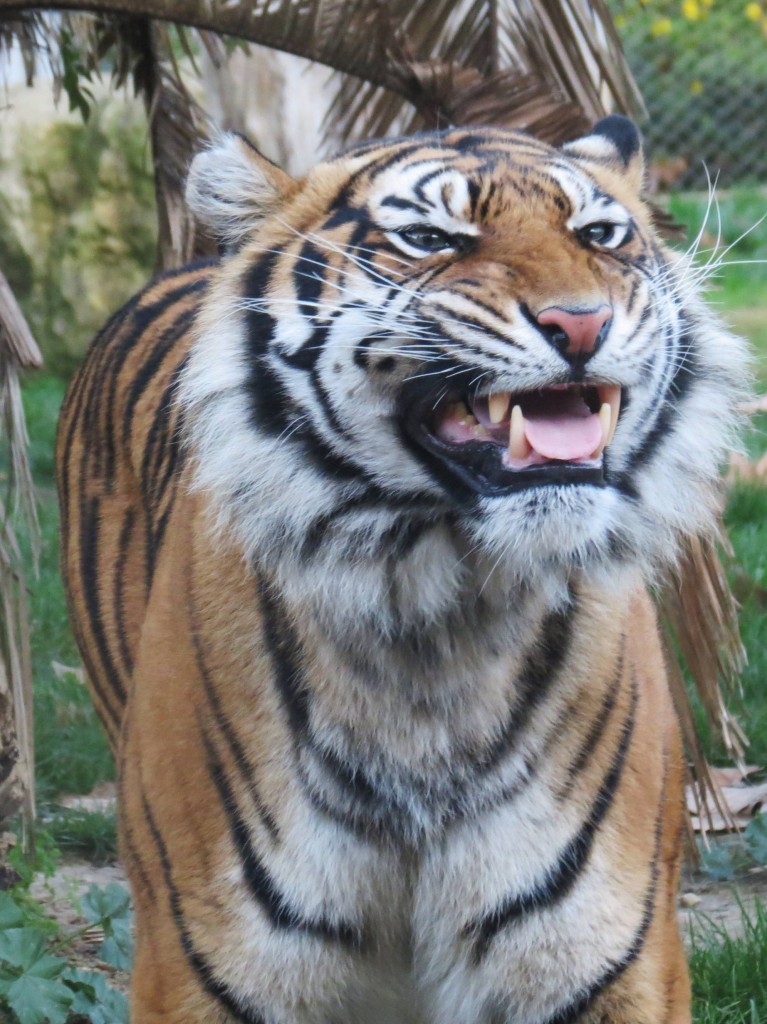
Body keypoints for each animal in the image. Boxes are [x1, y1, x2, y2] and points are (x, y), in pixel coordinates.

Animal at [56, 115, 749, 1024]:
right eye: (428, 239)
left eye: (599, 236)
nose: (581, 325)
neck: (438, 617)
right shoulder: (206, 965)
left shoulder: (606, 961)